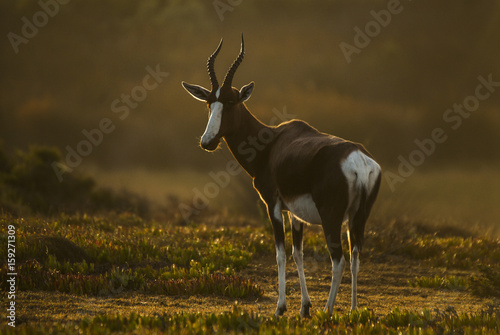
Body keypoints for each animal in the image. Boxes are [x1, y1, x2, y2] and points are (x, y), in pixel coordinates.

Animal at [182, 35, 380, 318]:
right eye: (210, 103)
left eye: (231, 102)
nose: (207, 142)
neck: (272, 142)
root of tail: (358, 161)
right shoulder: (295, 213)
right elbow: (298, 254)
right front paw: (304, 307)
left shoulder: (273, 205)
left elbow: (280, 254)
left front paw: (280, 308)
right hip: (358, 216)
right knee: (355, 256)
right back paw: (352, 310)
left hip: (331, 217)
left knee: (338, 259)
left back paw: (328, 310)